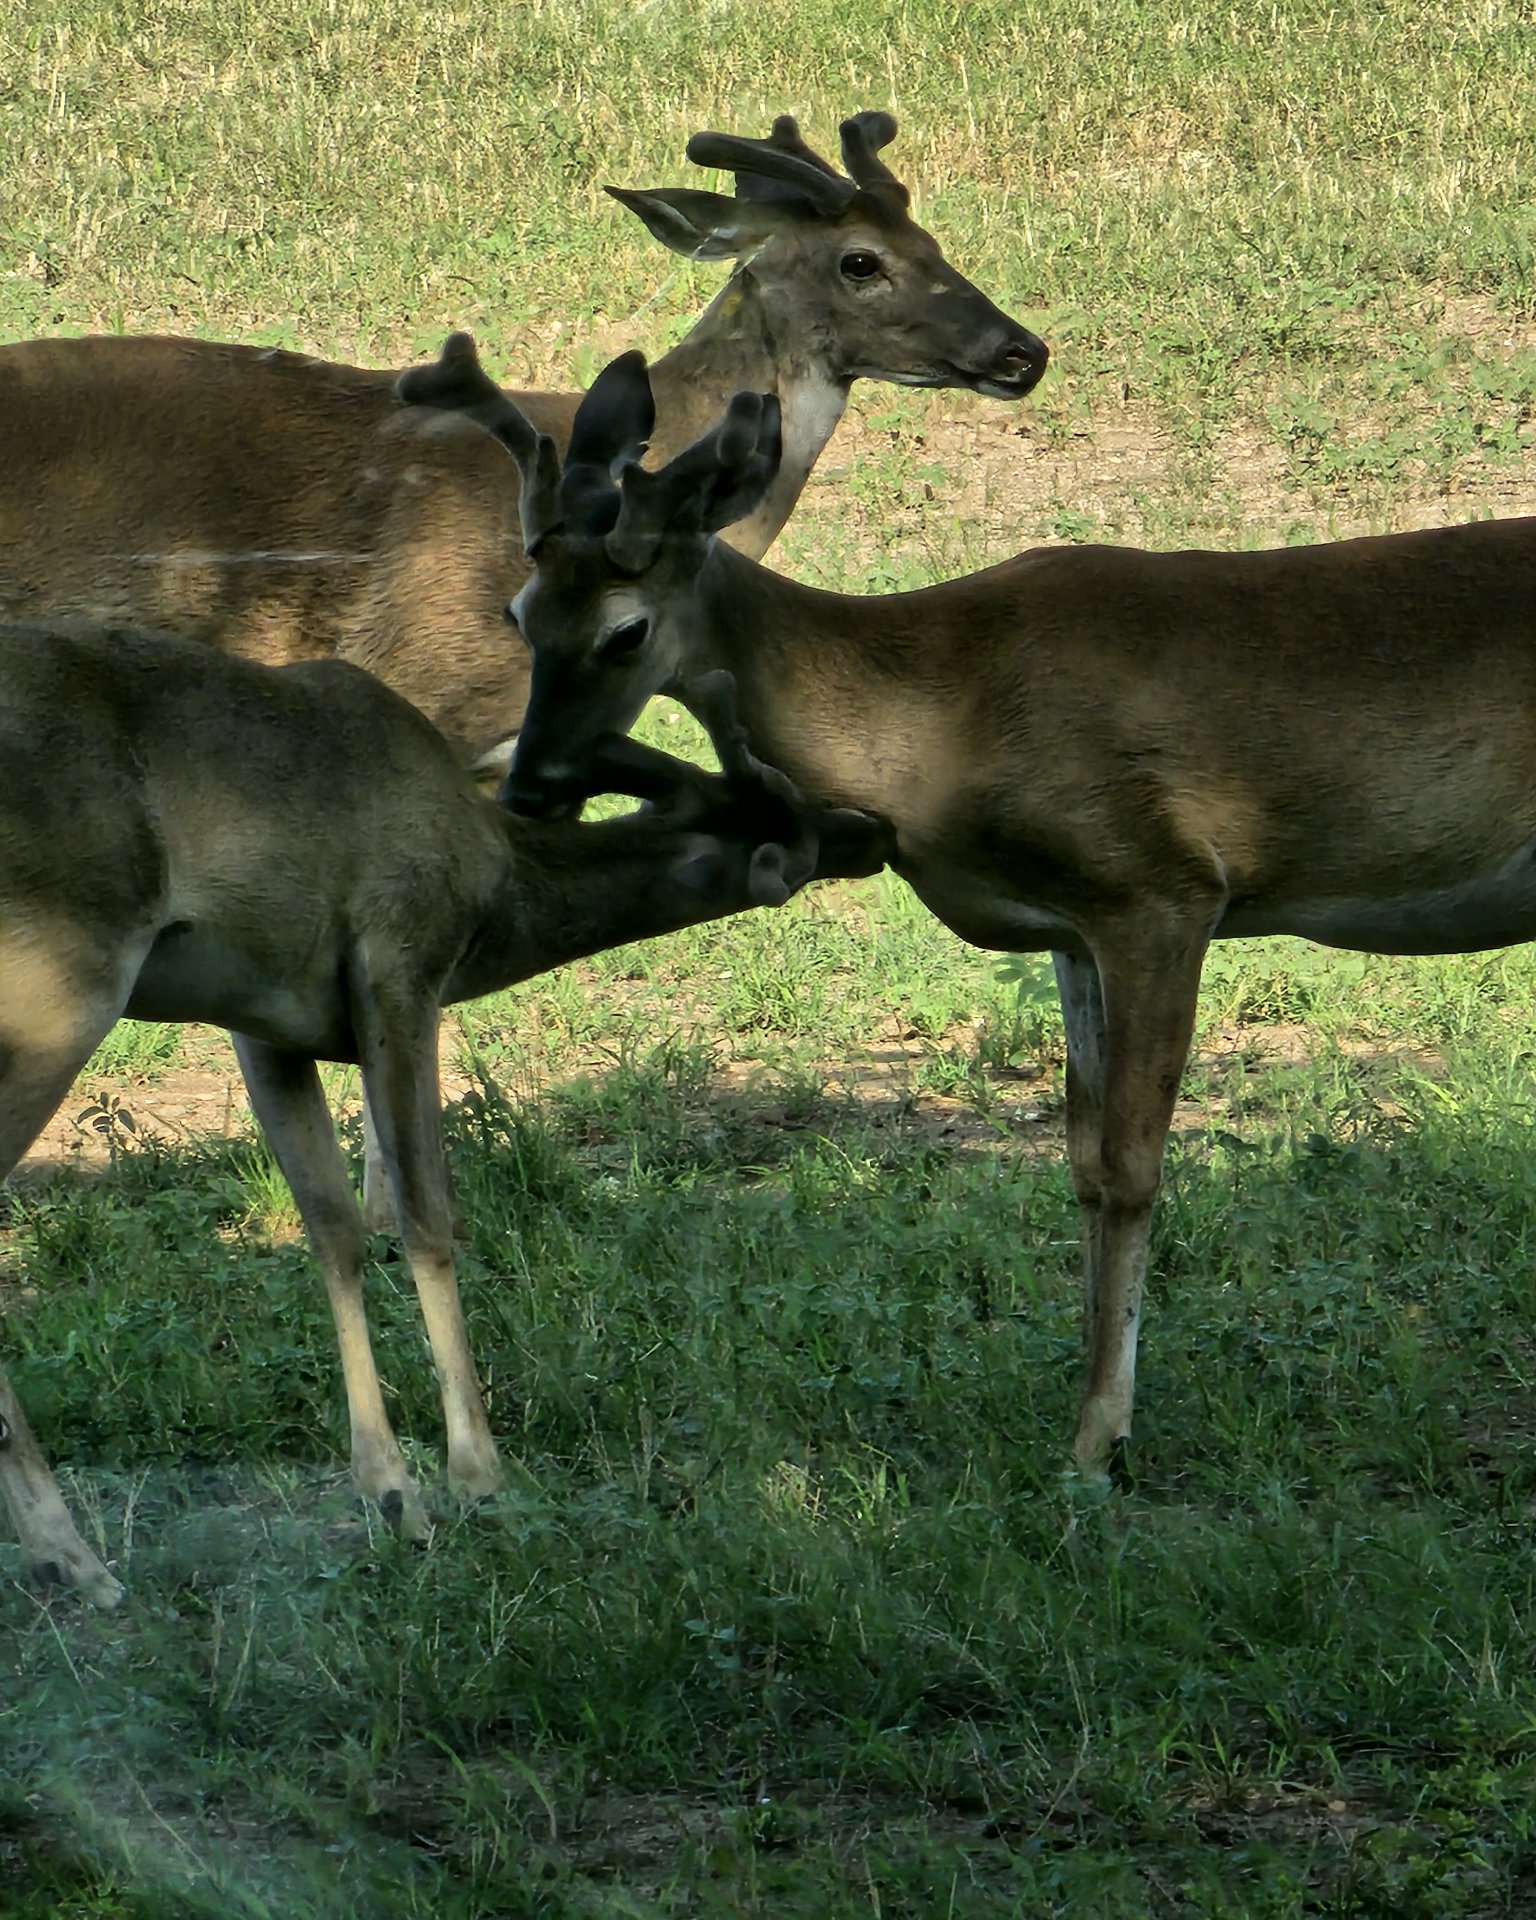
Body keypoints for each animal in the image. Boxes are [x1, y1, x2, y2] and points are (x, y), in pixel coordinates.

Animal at [0, 618, 893, 1607]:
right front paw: (476, 1475)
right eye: (783, 815)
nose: (874, 828)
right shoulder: (401, 955)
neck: (493, 891)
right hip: (58, 981)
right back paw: (73, 1557)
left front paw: (390, 1489)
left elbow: (335, 1232)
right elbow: (428, 1220)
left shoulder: (263, 1021)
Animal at [399, 333, 1536, 1489]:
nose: (528, 789)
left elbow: (1133, 1166)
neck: (939, 711)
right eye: (521, 616)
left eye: (624, 632)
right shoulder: (1073, 925)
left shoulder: (1162, 885)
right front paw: (1091, 1411)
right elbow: (1082, 1165)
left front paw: (1095, 1440)